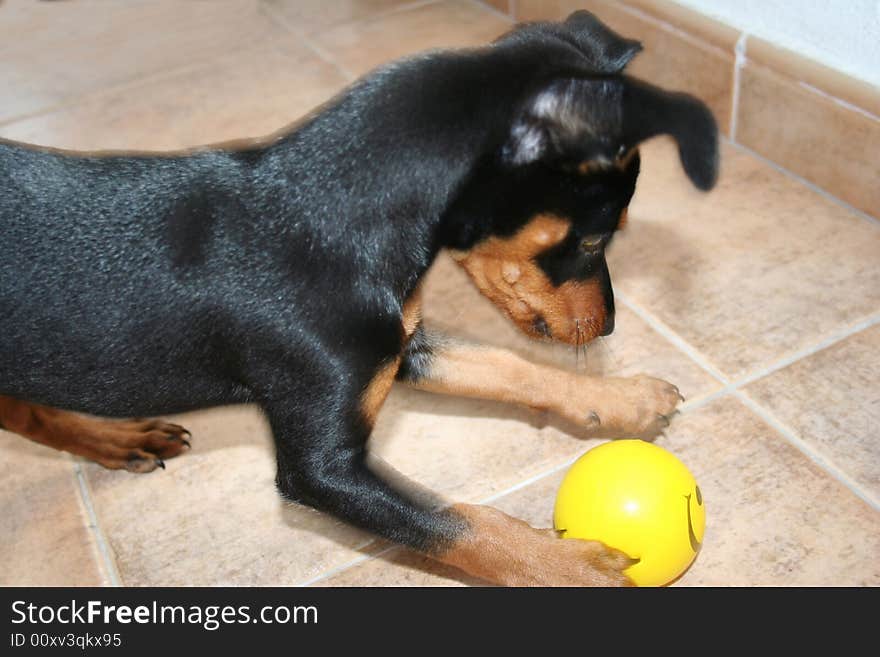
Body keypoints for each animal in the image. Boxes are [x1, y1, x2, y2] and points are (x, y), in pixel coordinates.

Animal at [0, 10, 716, 584]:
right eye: (596, 239)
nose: (609, 328)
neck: (333, 210)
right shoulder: (324, 470)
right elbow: (457, 524)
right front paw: (571, 567)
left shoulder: (399, 345)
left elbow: (507, 366)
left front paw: (621, 398)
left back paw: (116, 438)